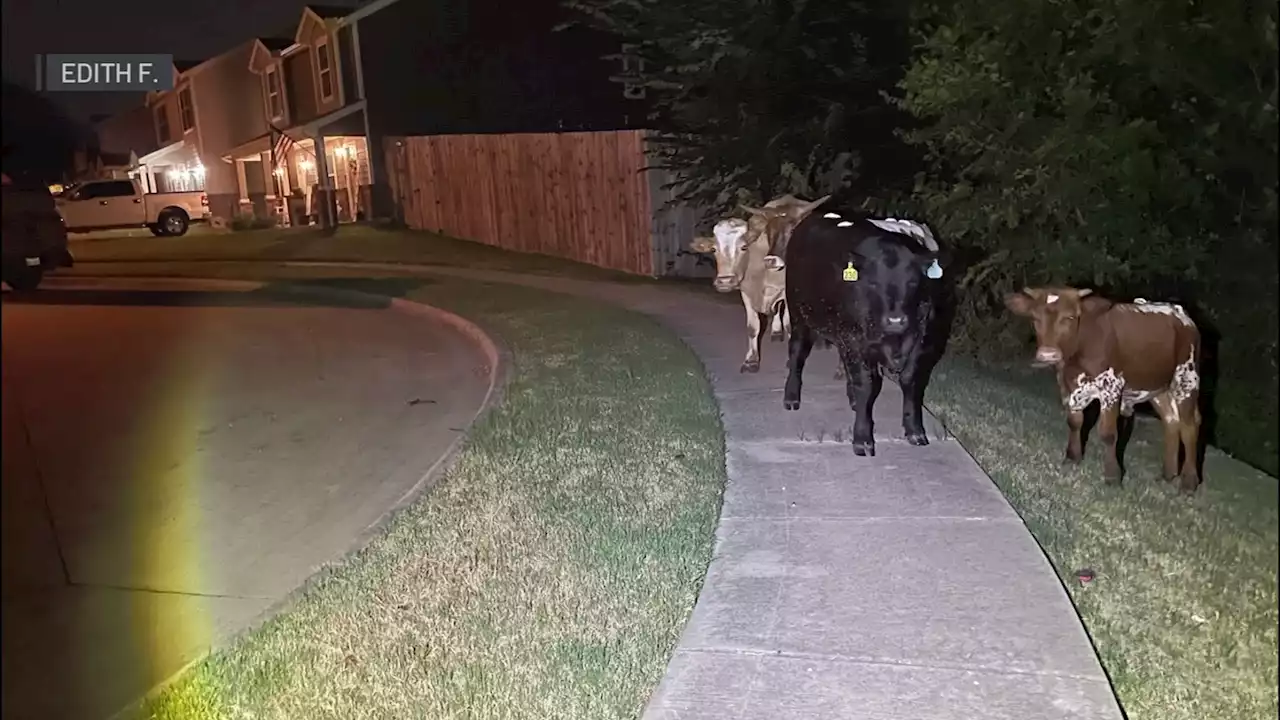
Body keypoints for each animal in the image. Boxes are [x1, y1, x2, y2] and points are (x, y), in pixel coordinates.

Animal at [778, 210, 952, 453]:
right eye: (873, 283)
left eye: (913, 282)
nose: (896, 320)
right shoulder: (853, 339)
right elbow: (866, 385)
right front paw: (862, 438)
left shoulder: (922, 338)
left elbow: (910, 380)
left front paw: (914, 430)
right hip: (798, 313)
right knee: (796, 353)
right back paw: (792, 397)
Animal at [1003, 285, 1203, 491]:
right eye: (1035, 318)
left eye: (1069, 317)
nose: (1048, 355)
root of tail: (1180, 313)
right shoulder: (1066, 385)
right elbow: (1074, 422)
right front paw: (1073, 457)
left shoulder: (1112, 387)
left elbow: (1108, 434)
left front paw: (1112, 476)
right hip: (1157, 386)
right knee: (1171, 420)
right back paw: (1168, 475)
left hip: (1186, 378)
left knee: (1189, 426)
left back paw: (1189, 482)